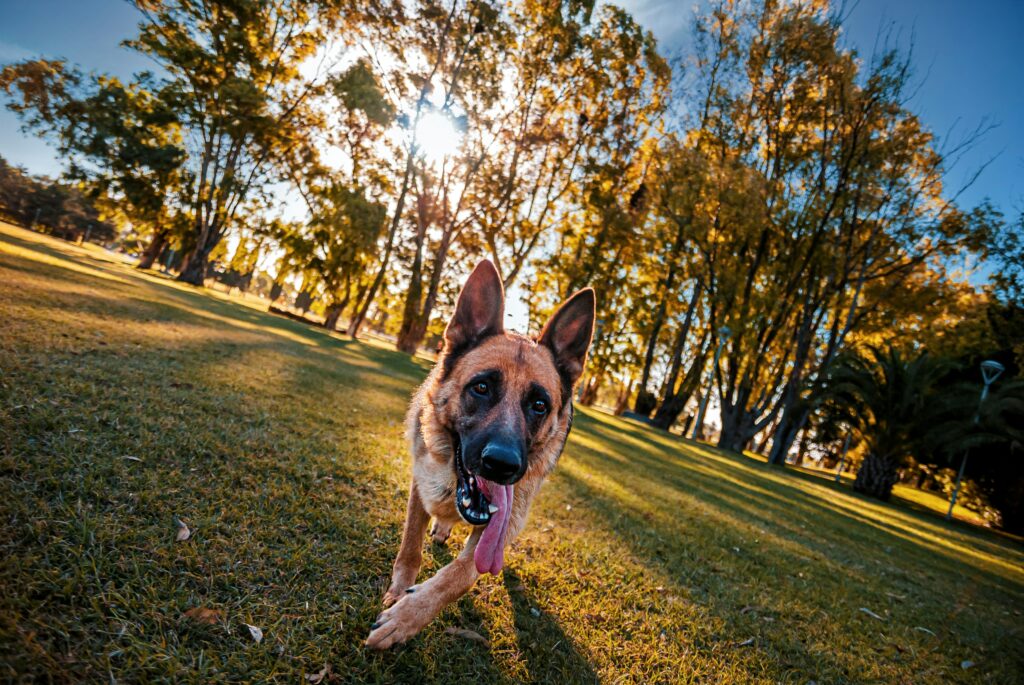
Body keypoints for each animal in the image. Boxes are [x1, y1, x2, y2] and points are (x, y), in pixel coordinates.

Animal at [366, 259, 593, 651]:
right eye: (482, 387)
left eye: (539, 405)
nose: (502, 465)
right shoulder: (420, 484)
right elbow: (410, 543)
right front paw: (399, 591)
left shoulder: (503, 523)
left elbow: (458, 576)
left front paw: (406, 617)